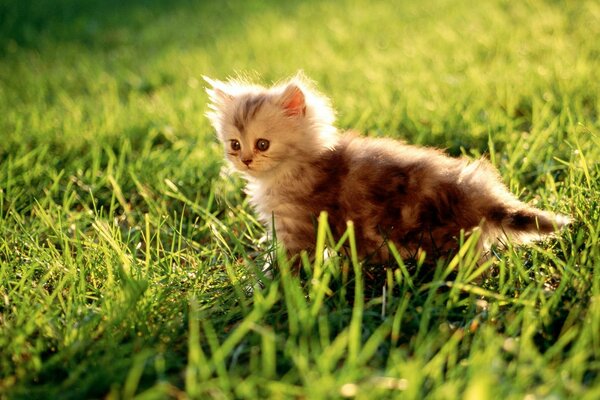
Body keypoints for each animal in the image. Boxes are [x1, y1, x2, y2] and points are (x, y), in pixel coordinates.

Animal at [206, 75, 572, 262]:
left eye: (262, 144)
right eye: (235, 144)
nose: (245, 159)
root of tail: (479, 194)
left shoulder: (298, 227)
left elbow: (287, 264)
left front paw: (264, 288)